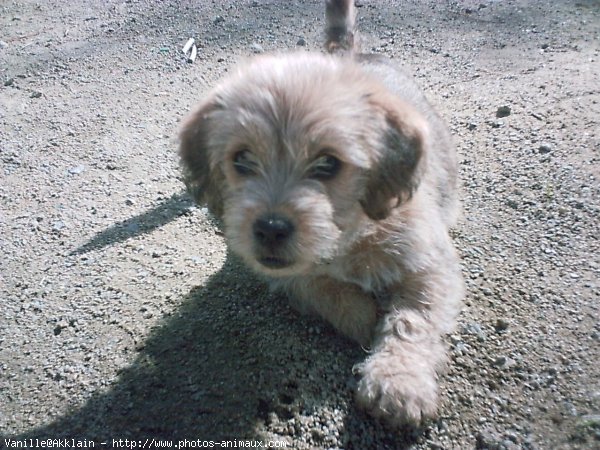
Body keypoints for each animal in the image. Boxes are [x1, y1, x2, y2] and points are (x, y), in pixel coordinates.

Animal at [178, 0, 464, 428]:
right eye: (241, 159)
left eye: (328, 163)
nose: (271, 228)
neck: (350, 236)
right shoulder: (285, 277)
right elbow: (326, 290)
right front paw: (366, 316)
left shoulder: (431, 267)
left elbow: (413, 321)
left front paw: (398, 383)